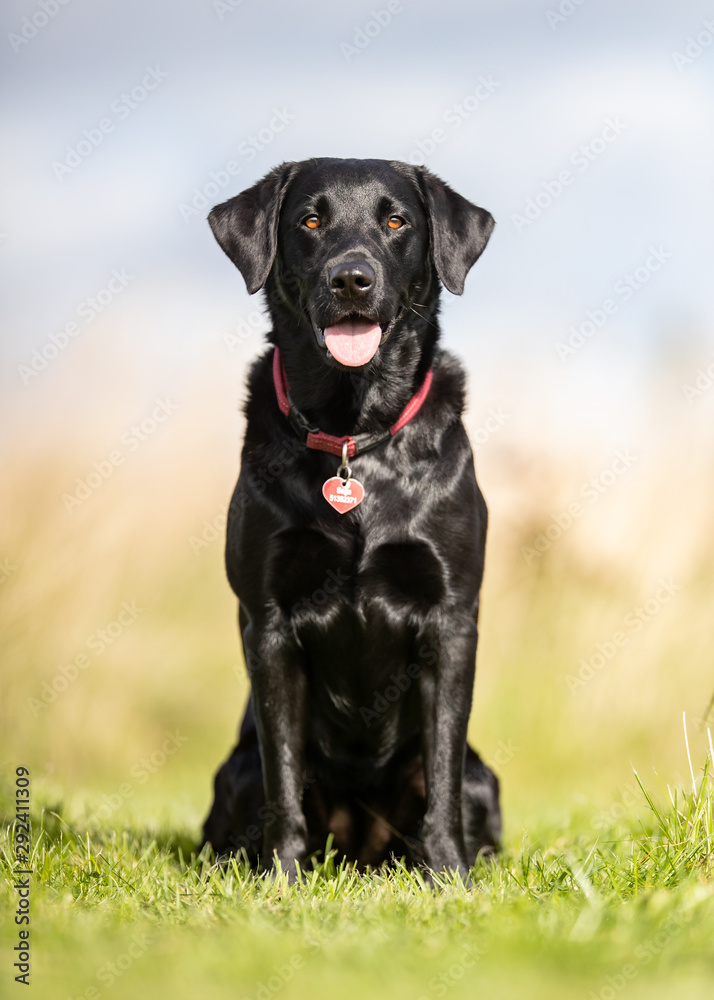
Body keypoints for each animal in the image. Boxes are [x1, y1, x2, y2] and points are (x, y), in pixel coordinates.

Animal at [203, 154, 498, 876]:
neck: (353, 434)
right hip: (234, 772)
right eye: (311, 221)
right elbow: (282, 776)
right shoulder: (267, 621)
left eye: (396, 221)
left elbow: (442, 773)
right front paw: (281, 878)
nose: (352, 279)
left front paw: (449, 876)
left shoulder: (452, 618)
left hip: (486, 777)